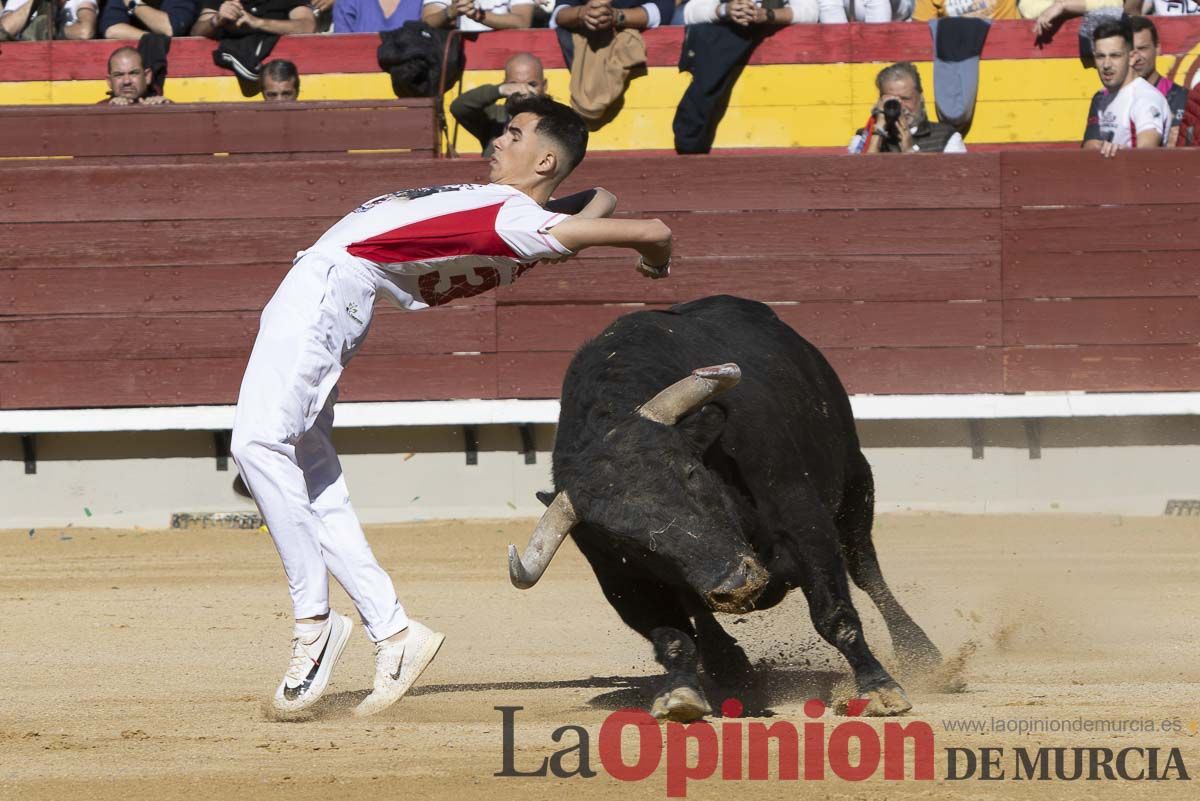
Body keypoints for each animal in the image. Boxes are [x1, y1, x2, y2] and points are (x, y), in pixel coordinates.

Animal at [506, 293, 936, 719]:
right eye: (627, 542)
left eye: (691, 472)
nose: (735, 585)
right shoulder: (619, 578)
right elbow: (672, 637)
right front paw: (681, 695)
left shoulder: (804, 521)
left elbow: (834, 614)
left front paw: (879, 688)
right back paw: (732, 670)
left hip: (854, 481)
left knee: (865, 569)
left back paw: (922, 653)